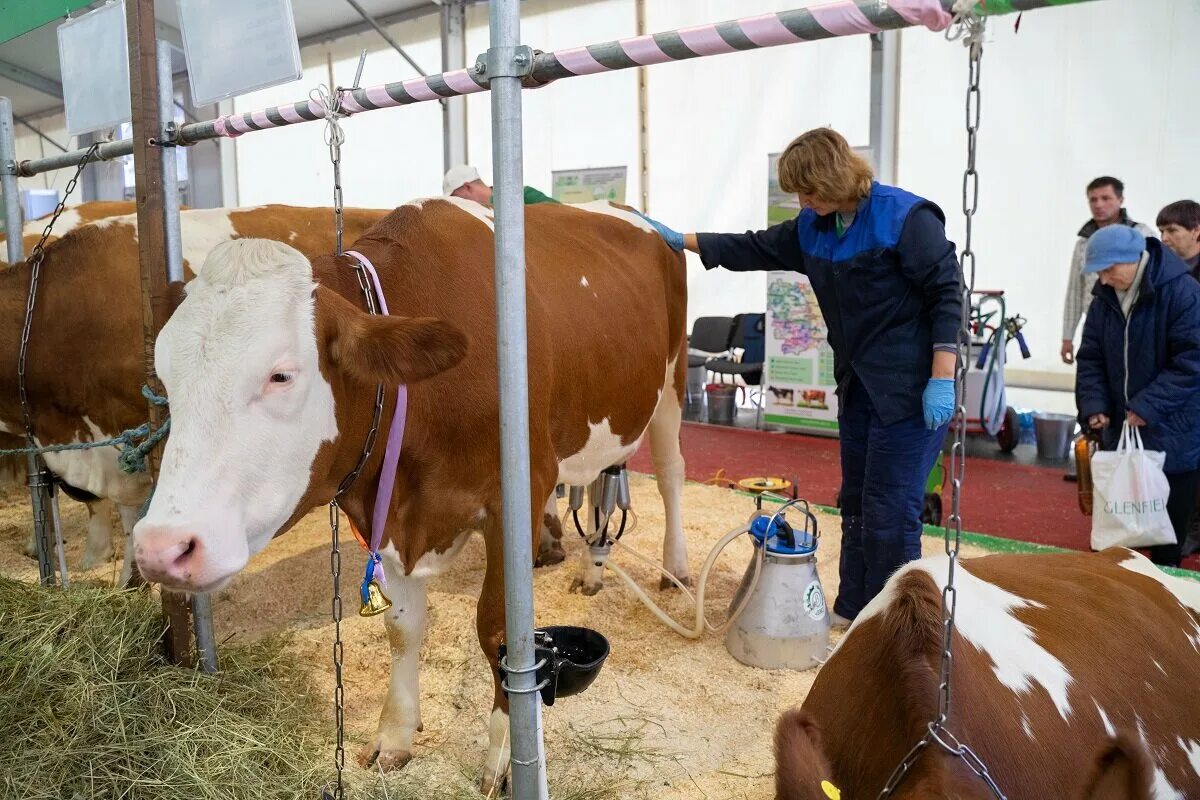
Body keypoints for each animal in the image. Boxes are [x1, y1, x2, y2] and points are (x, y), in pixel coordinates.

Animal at [131, 196, 691, 791]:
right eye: (165, 379)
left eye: (281, 375)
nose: (160, 548)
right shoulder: (385, 506)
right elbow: (401, 626)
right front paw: (394, 735)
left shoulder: (516, 493)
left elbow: (500, 631)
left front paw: (504, 756)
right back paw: (590, 568)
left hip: (672, 383)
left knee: (672, 472)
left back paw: (675, 568)